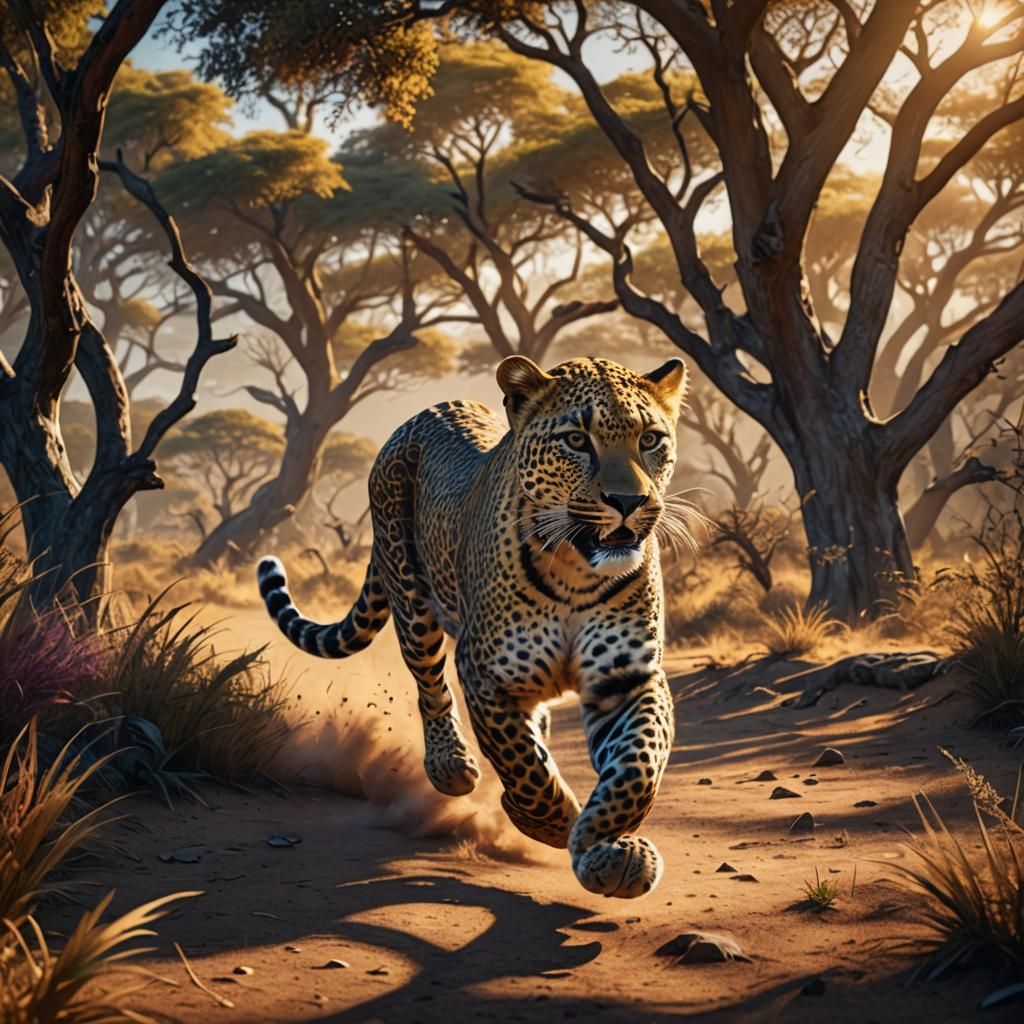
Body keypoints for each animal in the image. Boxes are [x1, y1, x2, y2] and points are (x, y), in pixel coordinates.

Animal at [257, 355, 697, 899]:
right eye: (577, 440)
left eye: (650, 439)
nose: (627, 501)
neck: (575, 571)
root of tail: (432, 408)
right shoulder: (488, 677)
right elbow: (523, 766)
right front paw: (553, 825)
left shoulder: (628, 678)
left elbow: (638, 766)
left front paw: (609, 847)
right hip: (411, 598)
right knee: (429, 685)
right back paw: (451, 767)